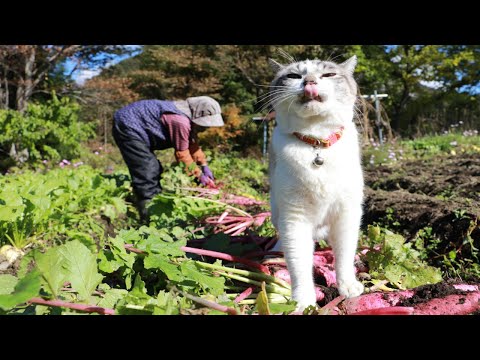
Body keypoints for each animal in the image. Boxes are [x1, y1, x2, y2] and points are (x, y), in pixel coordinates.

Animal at [268, 54, 366, 310]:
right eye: (293, 76)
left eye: (328, 74)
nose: (310, 81)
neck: (316, 144)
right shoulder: (294, 219)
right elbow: (299, 265)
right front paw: (303, 302)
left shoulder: (347, 214)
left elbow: (344, 255)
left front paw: (348, 287)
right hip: (277, 214)